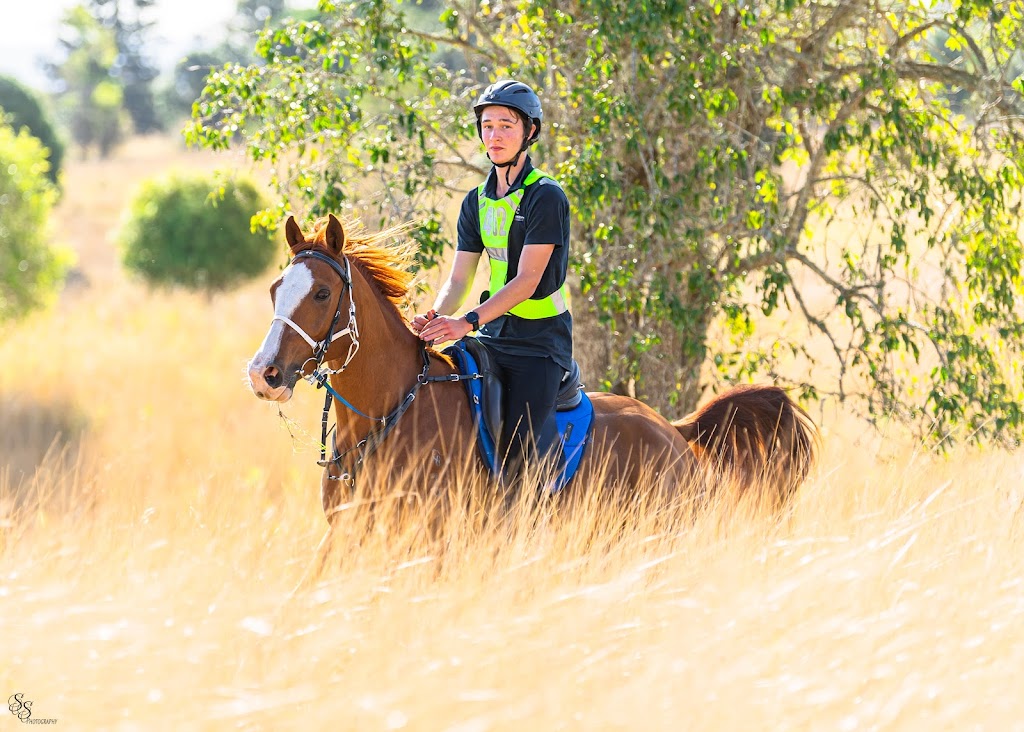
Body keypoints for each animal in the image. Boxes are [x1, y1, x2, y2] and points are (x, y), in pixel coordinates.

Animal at [245, 216, 815, 565]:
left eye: (322, 293)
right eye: (276, 290)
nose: (263, 373)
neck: (385, 416)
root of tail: (675, 432)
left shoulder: (432, 544)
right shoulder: (348, 537)